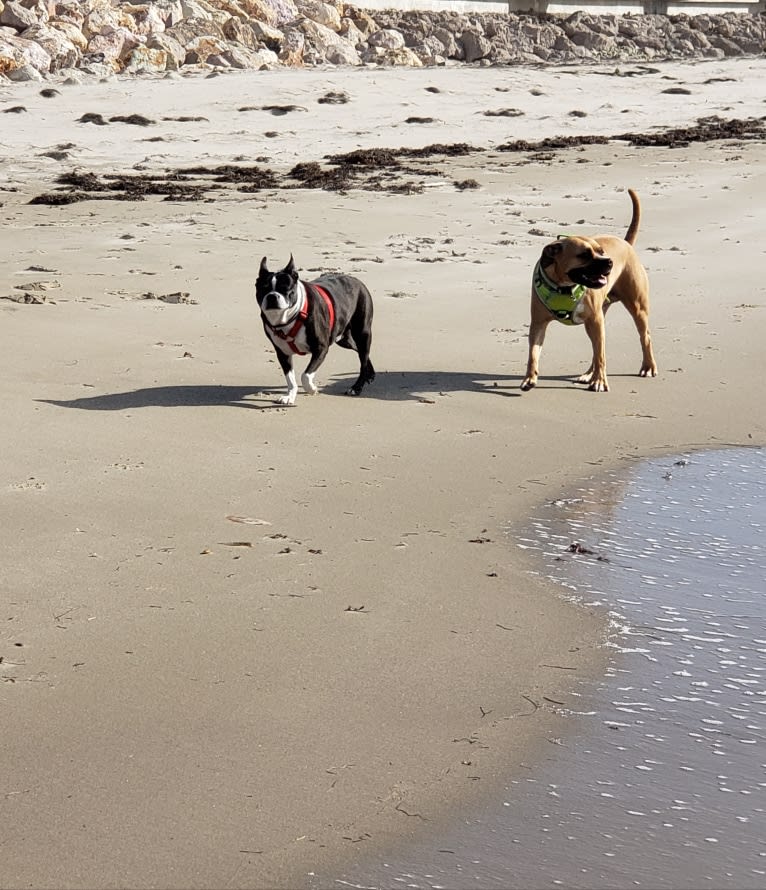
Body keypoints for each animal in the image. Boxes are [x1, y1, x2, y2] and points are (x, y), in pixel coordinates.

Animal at [256, 255, 376, 404]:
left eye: (285, 289)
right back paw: (370, 375)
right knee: (360, 352)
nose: (272, 296)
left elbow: (305, 375)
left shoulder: (321, 348)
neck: (287, 319)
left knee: (363, 357)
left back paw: (357, 387)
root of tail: (357, 281)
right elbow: (290, 378)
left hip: (362, 333)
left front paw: (312, 389)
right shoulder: (282, 353)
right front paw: (290, 396)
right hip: (344, 339)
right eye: (263, 289)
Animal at [524, 188, 656, 392]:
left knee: (644, 337)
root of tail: (625, 243)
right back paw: (588, 375)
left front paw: (600, 381)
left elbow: (601, 355)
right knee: (596, 351)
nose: (609, 262)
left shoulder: (596, 321)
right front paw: (530, 378)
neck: (564, 286)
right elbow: (533, 353)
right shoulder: (538, 324)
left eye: (601, 251)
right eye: (584, 255)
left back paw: (648, 366)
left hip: (636, 308)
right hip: (595, 321)